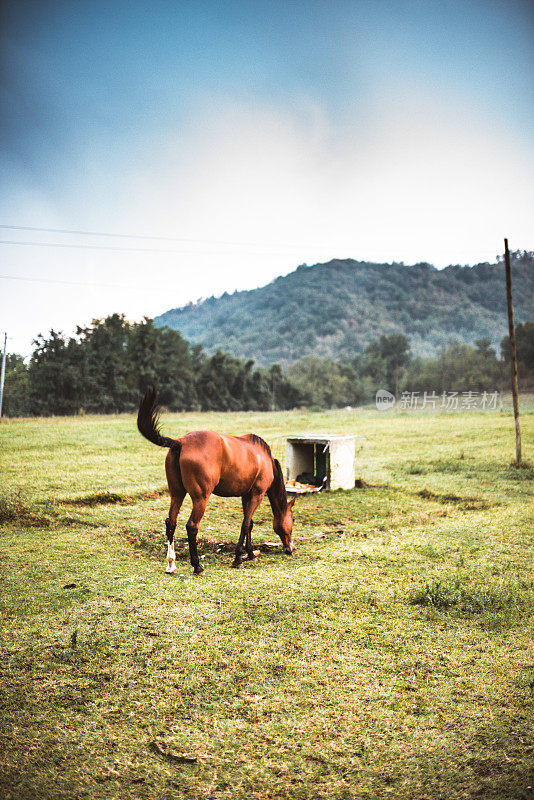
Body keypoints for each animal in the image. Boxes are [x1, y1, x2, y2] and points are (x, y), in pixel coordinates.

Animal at [136, 390, 296, 572]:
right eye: (293, 519)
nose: (290, 548)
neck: (264, 459)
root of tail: (181, 442)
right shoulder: (258, 495)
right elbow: (245, 524)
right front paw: (238, 558)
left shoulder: (246, 495)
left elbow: (249, 523)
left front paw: (249, 553)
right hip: (201, 498)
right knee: (192, 526)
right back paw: (197, 566)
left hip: (176, 494)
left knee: (171, 523)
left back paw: (171, 564)